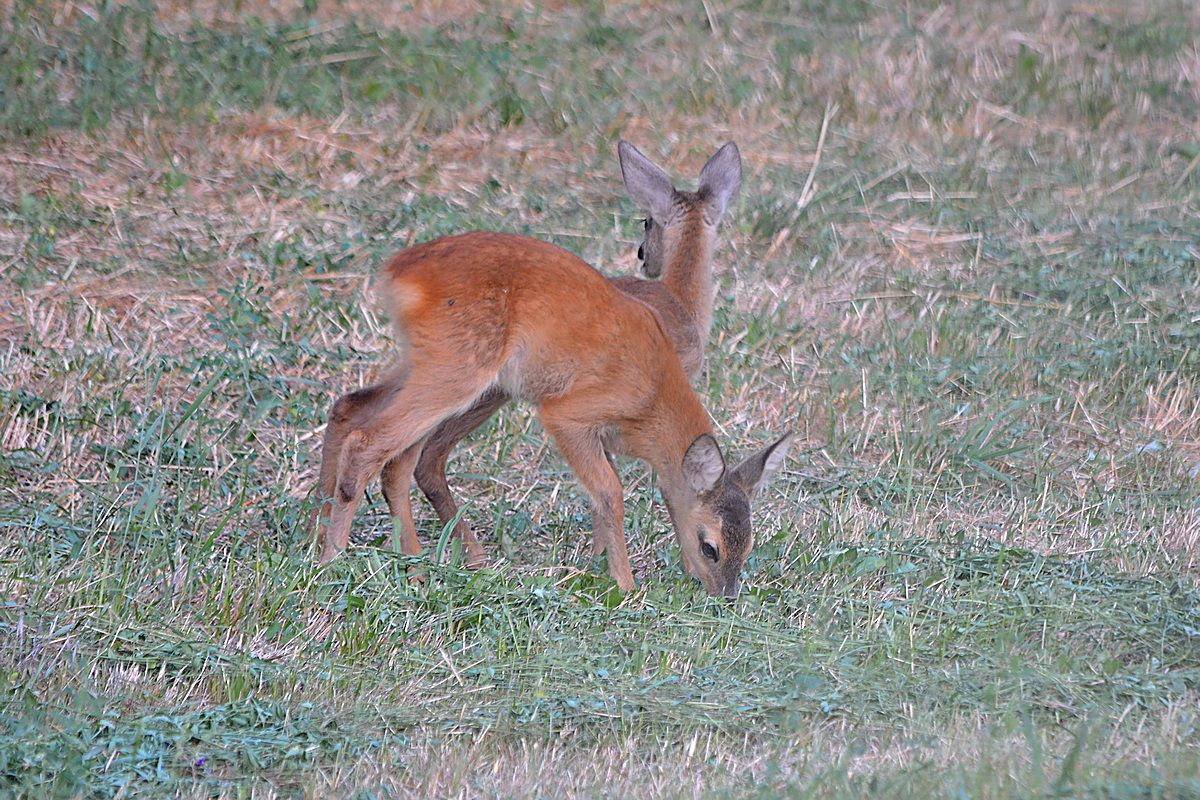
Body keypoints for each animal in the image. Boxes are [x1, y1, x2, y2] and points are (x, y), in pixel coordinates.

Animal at [311, 229, 791, 598]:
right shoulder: (567, 413)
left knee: (351, 410)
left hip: (431, 364)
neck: (655, 394)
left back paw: (336, 540)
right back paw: (336, 560)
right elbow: (611, 490)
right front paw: (625, 584)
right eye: (710, 546)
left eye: (749, 545)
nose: (726, 597)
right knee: (373, 445)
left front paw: (603, 563)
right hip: (459, 371)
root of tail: (398, 269)